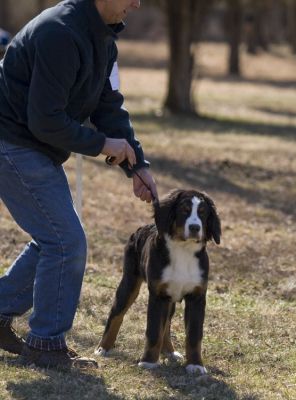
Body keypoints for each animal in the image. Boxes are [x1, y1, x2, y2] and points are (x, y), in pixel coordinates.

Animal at [96, 189, 221, 374]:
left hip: (170, 300)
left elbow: (193, 335)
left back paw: (169, 352)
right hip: (129, 283)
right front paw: (148, 361)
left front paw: (196, 365)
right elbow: (154, 330)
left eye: (203, 213)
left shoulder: (196, 297)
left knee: (167, 325)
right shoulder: (158, 295)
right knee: (116, 313)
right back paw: (103, 347)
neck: (184, 250)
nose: (194, 227)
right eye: (184, 210)